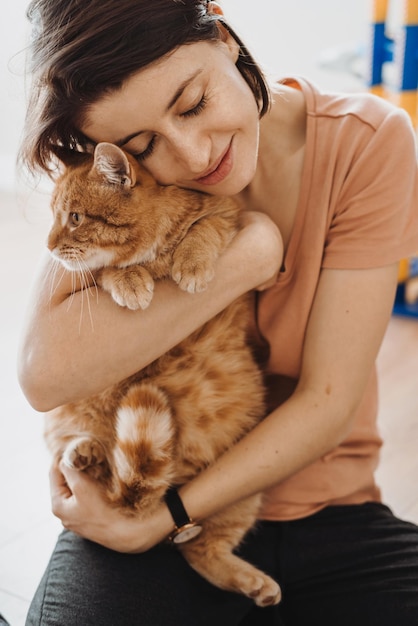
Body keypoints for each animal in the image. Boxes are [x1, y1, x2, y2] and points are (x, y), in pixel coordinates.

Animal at [44, 143, 280, 604]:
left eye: (75, 218)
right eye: (54, 216)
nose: (47, 246)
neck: (154, 252)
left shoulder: (225, 214)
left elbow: (203, 230)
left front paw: (191, 264)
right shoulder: (95, 280)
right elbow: (107, 271)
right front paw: (129, 281)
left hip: (242, 495)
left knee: (199, 549)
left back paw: (253, 583)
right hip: (69, 417)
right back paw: (86, 453)